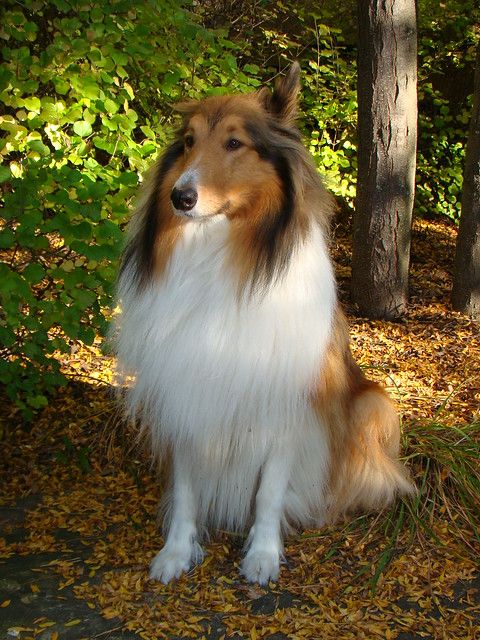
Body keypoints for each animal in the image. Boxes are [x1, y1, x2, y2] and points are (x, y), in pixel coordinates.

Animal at [114, 61, 414, 584]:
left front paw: (262, 555)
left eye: (235, 143)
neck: (221, 257)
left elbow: (269, 492)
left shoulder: (286, 402)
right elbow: (187, 491)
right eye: (188, 141)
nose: (179, 197)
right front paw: (176, 552)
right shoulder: (186, 392)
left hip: (373, 404)